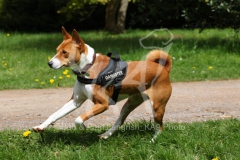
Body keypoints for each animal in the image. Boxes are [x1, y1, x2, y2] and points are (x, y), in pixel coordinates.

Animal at [32, 27, 172, 141]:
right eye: (57, 50)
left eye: (64, 52)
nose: (49, 63)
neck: (88, 68)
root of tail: (164, 69)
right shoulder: (75, 101)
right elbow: (55, 114)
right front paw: (41, 126)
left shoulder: (103, 104)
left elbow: (78, 118)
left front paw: (82, 128)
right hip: (130, 103)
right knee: (119, 121)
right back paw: (106, 135)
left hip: (157, 107)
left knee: (160, 126)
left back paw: (152, 141)